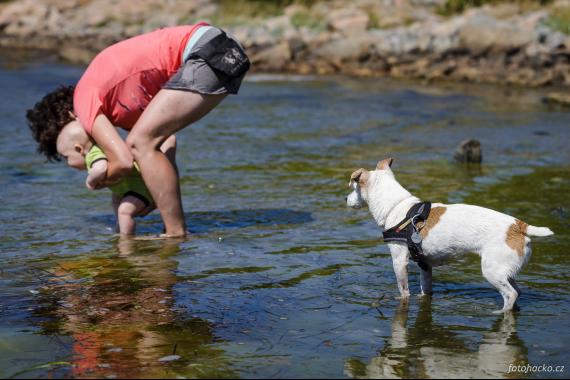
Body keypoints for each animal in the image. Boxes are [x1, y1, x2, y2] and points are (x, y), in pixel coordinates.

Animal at [344, 157, 552, 312]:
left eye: (353, 188)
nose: (345, 198)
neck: (396, 206)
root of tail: (519, 226)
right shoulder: (425, 266)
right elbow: (425, 290)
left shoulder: (399, 261)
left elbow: (404, 291)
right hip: (505, 271)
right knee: (517, 291)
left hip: (492, 271)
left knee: (511, 295)